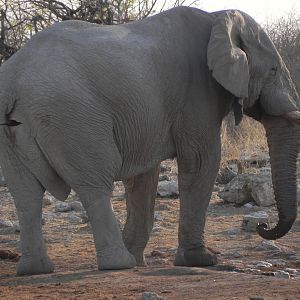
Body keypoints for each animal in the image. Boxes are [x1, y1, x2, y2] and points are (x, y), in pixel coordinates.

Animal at [0, 5, 300, 276]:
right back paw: (119, 264)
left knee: (26, 194)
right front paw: (201, 261)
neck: (218, 16)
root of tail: (11, 82)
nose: (262, 226)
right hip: (71, 116)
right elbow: (201, 160)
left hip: (15, 131)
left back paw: (35, 270)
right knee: (94, 184)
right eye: (273, 70)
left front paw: (140, 259)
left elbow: (143, 176)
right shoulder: (196, 92)